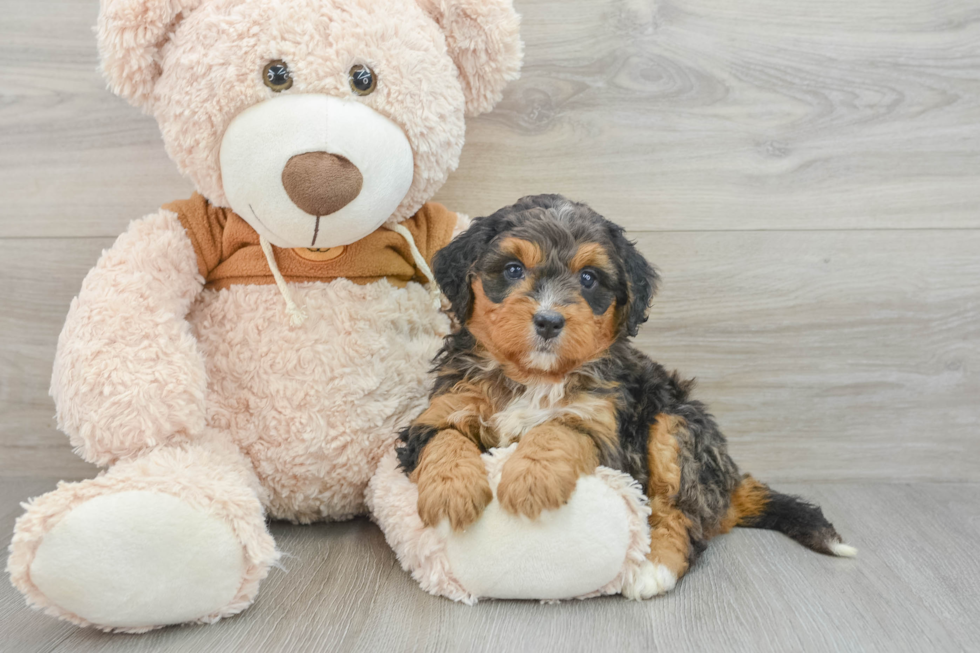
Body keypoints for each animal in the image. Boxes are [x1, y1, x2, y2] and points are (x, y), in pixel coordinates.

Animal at [394, 192, 852, 596]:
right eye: (511, 270)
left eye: (588, 278)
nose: (548, 321)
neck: (535, 377)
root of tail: (729, 483)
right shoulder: (443, 406)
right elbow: (445, 436)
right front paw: (451, 491)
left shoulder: (608, 430)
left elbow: (560, 429)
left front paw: (531, 478)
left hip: (676, 427)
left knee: (682, 516)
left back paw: (653, 569)